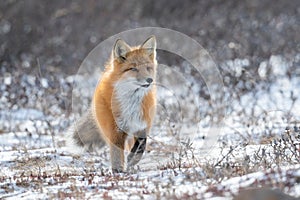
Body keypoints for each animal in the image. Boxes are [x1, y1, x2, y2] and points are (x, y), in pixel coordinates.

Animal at [70, 35, 158, 172]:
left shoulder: (142, 125)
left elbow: (141, 146)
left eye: (148, 68)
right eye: (133, 68)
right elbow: (116, 152)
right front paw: (118, 170)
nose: (150, 80)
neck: (131, 103)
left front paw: (133, 159)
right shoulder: (115, 130)